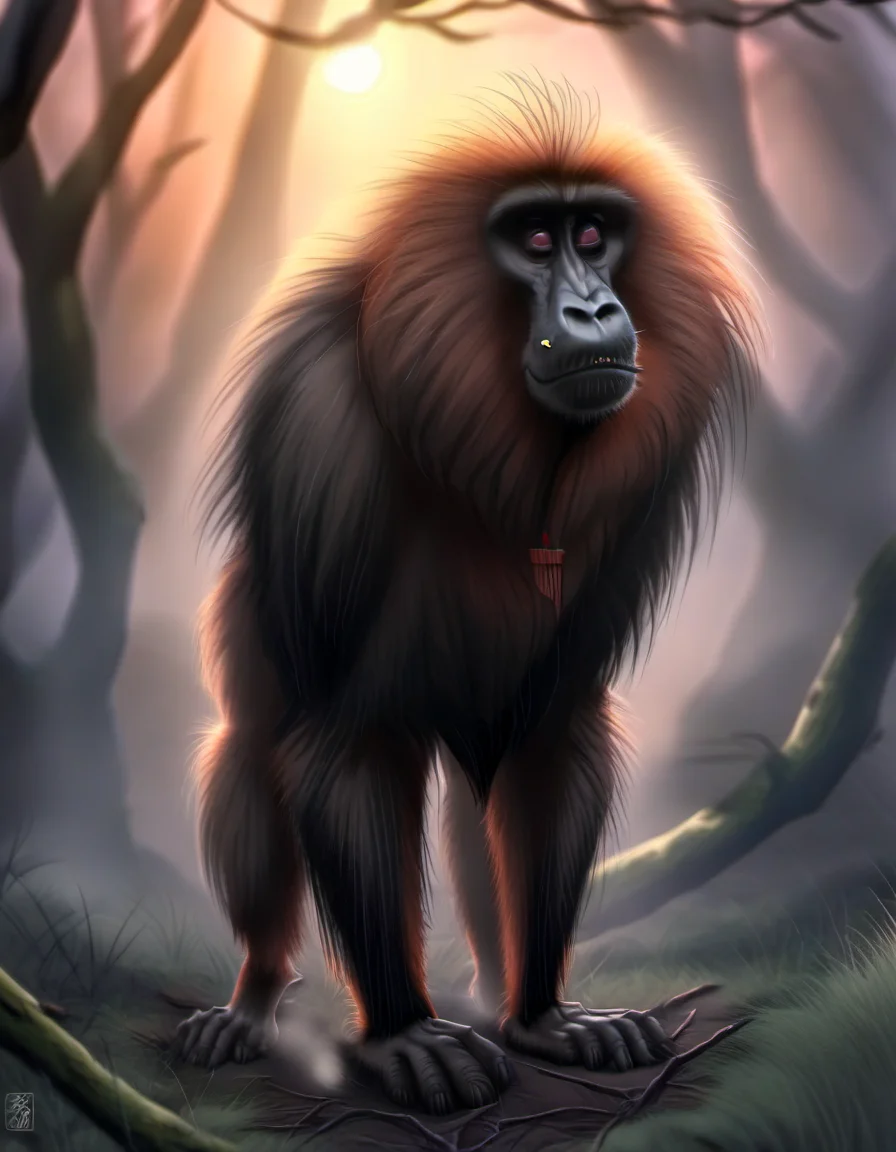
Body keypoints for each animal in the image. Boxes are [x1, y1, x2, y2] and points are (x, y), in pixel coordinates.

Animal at [174, 78, 760, 1115]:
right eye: (535, 240)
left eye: (595, 233)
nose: (595, 307)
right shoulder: (319, 419)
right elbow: (342, 737)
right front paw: (405, 1034)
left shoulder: (651, 474)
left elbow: (552, 728)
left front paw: (546, 1019)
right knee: (249, 748)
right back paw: (252, 1001)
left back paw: (499, 992)